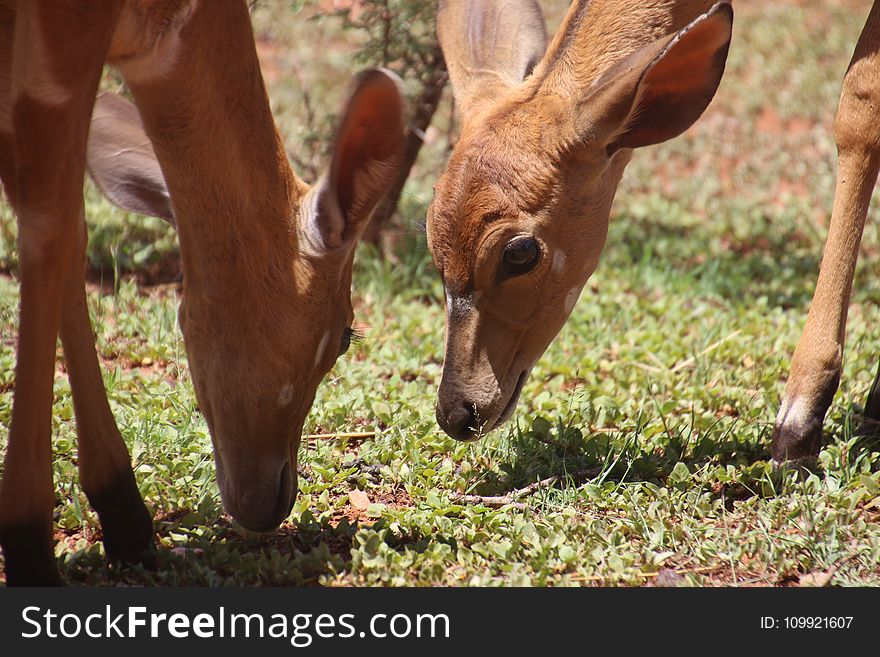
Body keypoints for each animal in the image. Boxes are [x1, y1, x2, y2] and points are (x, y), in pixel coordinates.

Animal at [0, 0, 406, 584]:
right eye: (345, 335)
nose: (275, 500)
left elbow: (69, 229)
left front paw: (126, 516)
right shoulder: (63, 35)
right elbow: (51, 225)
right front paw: (31, 545)